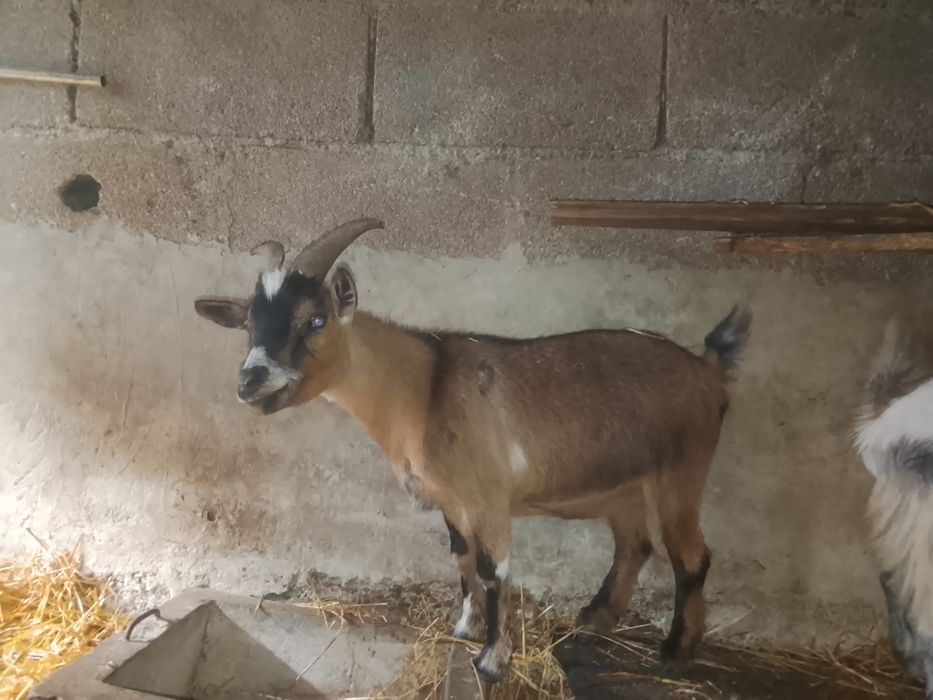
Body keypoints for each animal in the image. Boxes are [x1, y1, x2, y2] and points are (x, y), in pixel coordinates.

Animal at [194, 218, 752, 682]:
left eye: (315, 320)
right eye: (249, 326)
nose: (250, 381)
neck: (424, 388)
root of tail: (709, 371)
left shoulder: (488, 498)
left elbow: (492, 570)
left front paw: (492, 660)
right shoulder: (452, 500)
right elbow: (461, 560)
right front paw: (463, 628)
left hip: (681, 471)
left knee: (691, 557)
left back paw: (676, 651)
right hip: (624, 484)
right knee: (635, 545)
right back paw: (596, 618)